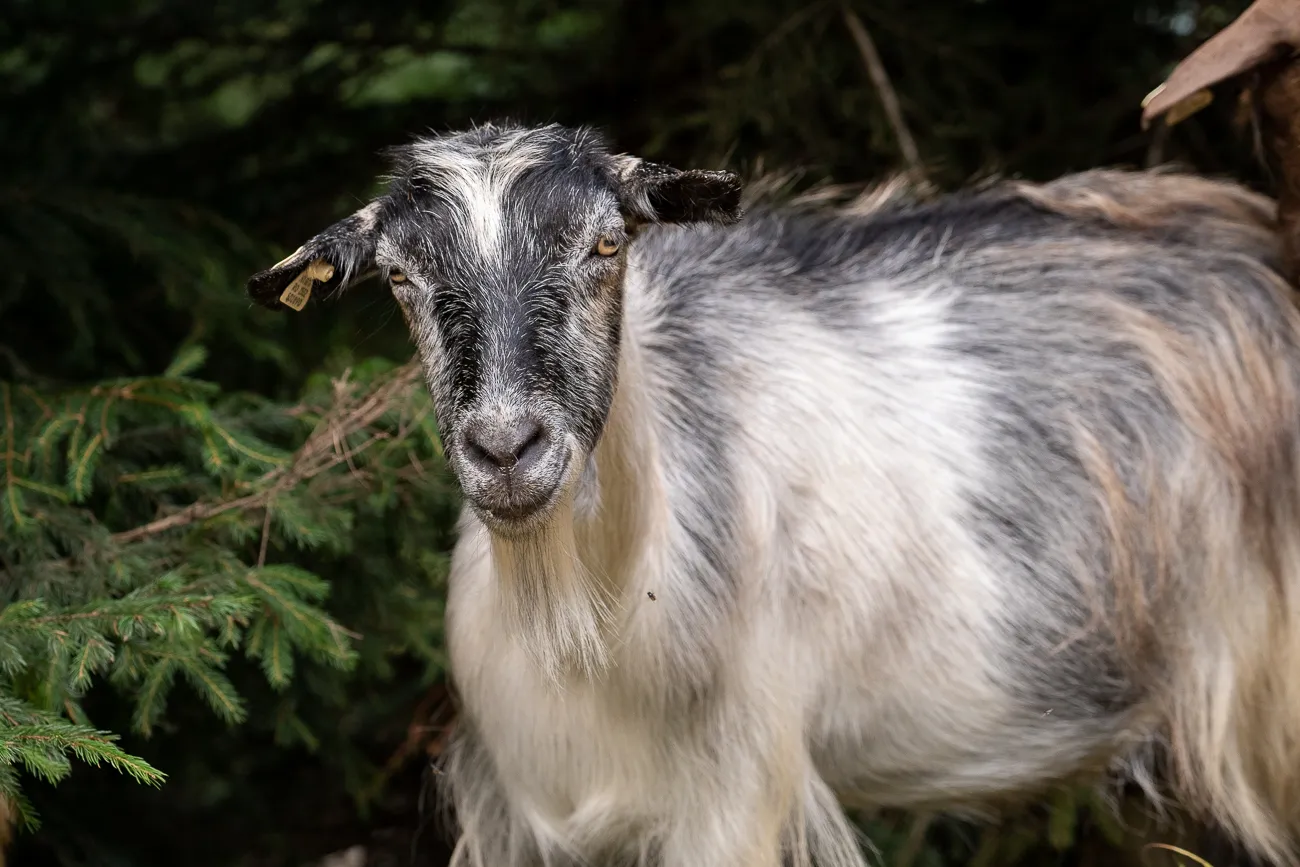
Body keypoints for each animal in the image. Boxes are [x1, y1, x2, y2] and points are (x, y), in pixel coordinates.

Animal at [247, 122, 1300, 867]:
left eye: (605, 247)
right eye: (398, 277)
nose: (507, 448)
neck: (591, 620)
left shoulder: (732, 791)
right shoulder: (522, 811)